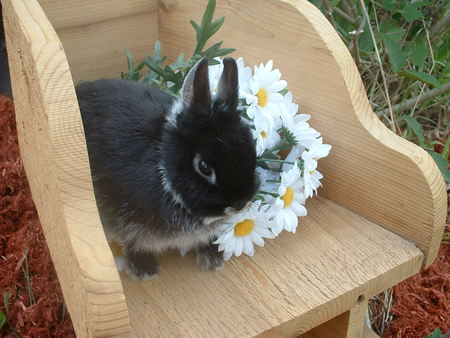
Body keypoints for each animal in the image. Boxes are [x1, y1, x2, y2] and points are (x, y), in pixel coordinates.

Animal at [77, 58, 258, 280]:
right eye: (204, 167)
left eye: (251, 147)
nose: (240, 204)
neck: (163, 168)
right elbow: (130, 240)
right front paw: (143, 270)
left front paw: (213, 259)